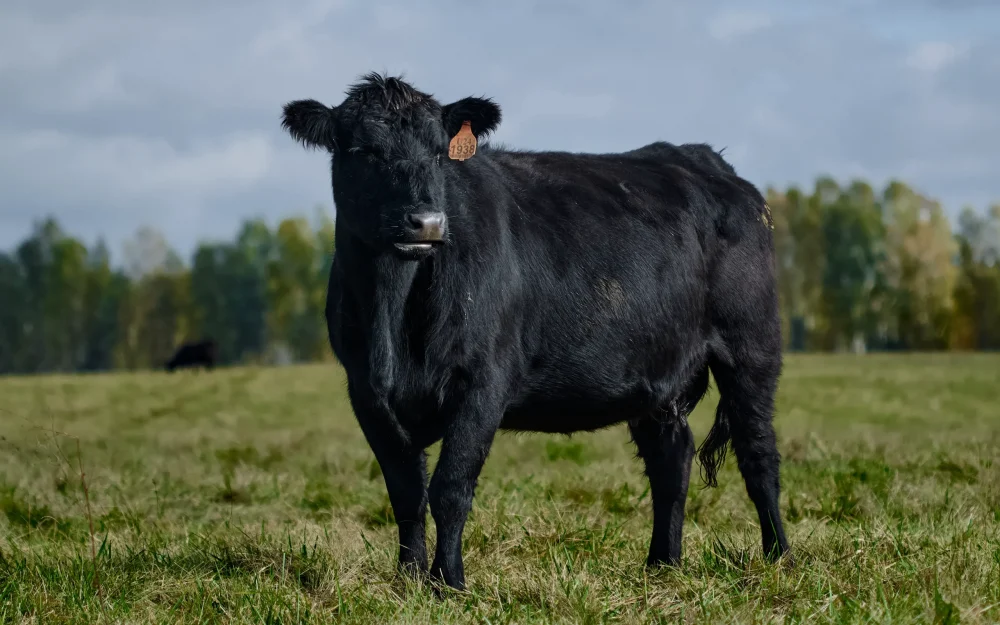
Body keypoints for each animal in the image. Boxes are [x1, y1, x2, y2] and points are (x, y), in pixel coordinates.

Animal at [280, 73, 788, 588]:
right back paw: (662, 564)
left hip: (751, 347)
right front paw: (408, 580)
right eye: (363, 151)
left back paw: (778, 557)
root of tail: (705, 160)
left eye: (440, 153)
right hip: (655, 376)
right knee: (671, 459)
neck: (394, 316)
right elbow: (406, 494)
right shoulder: (367, 392)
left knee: (758, 452)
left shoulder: (483, 382)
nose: (427, 222)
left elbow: (450, 489)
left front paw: (449, 582)